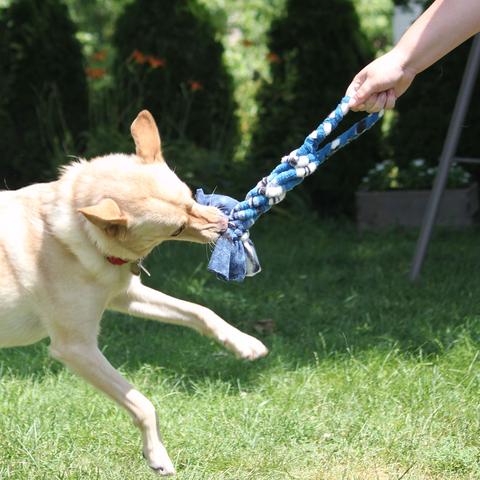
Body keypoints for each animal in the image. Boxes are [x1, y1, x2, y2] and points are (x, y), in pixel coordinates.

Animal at [0, 110, 266, 474]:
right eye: (176, 229)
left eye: (190, 197)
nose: (227, 225)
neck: (79, 234)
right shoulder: (76, 348)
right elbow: (142, 404)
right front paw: (157, 456)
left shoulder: (123, 294)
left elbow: (201, 311)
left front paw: (244, 344)